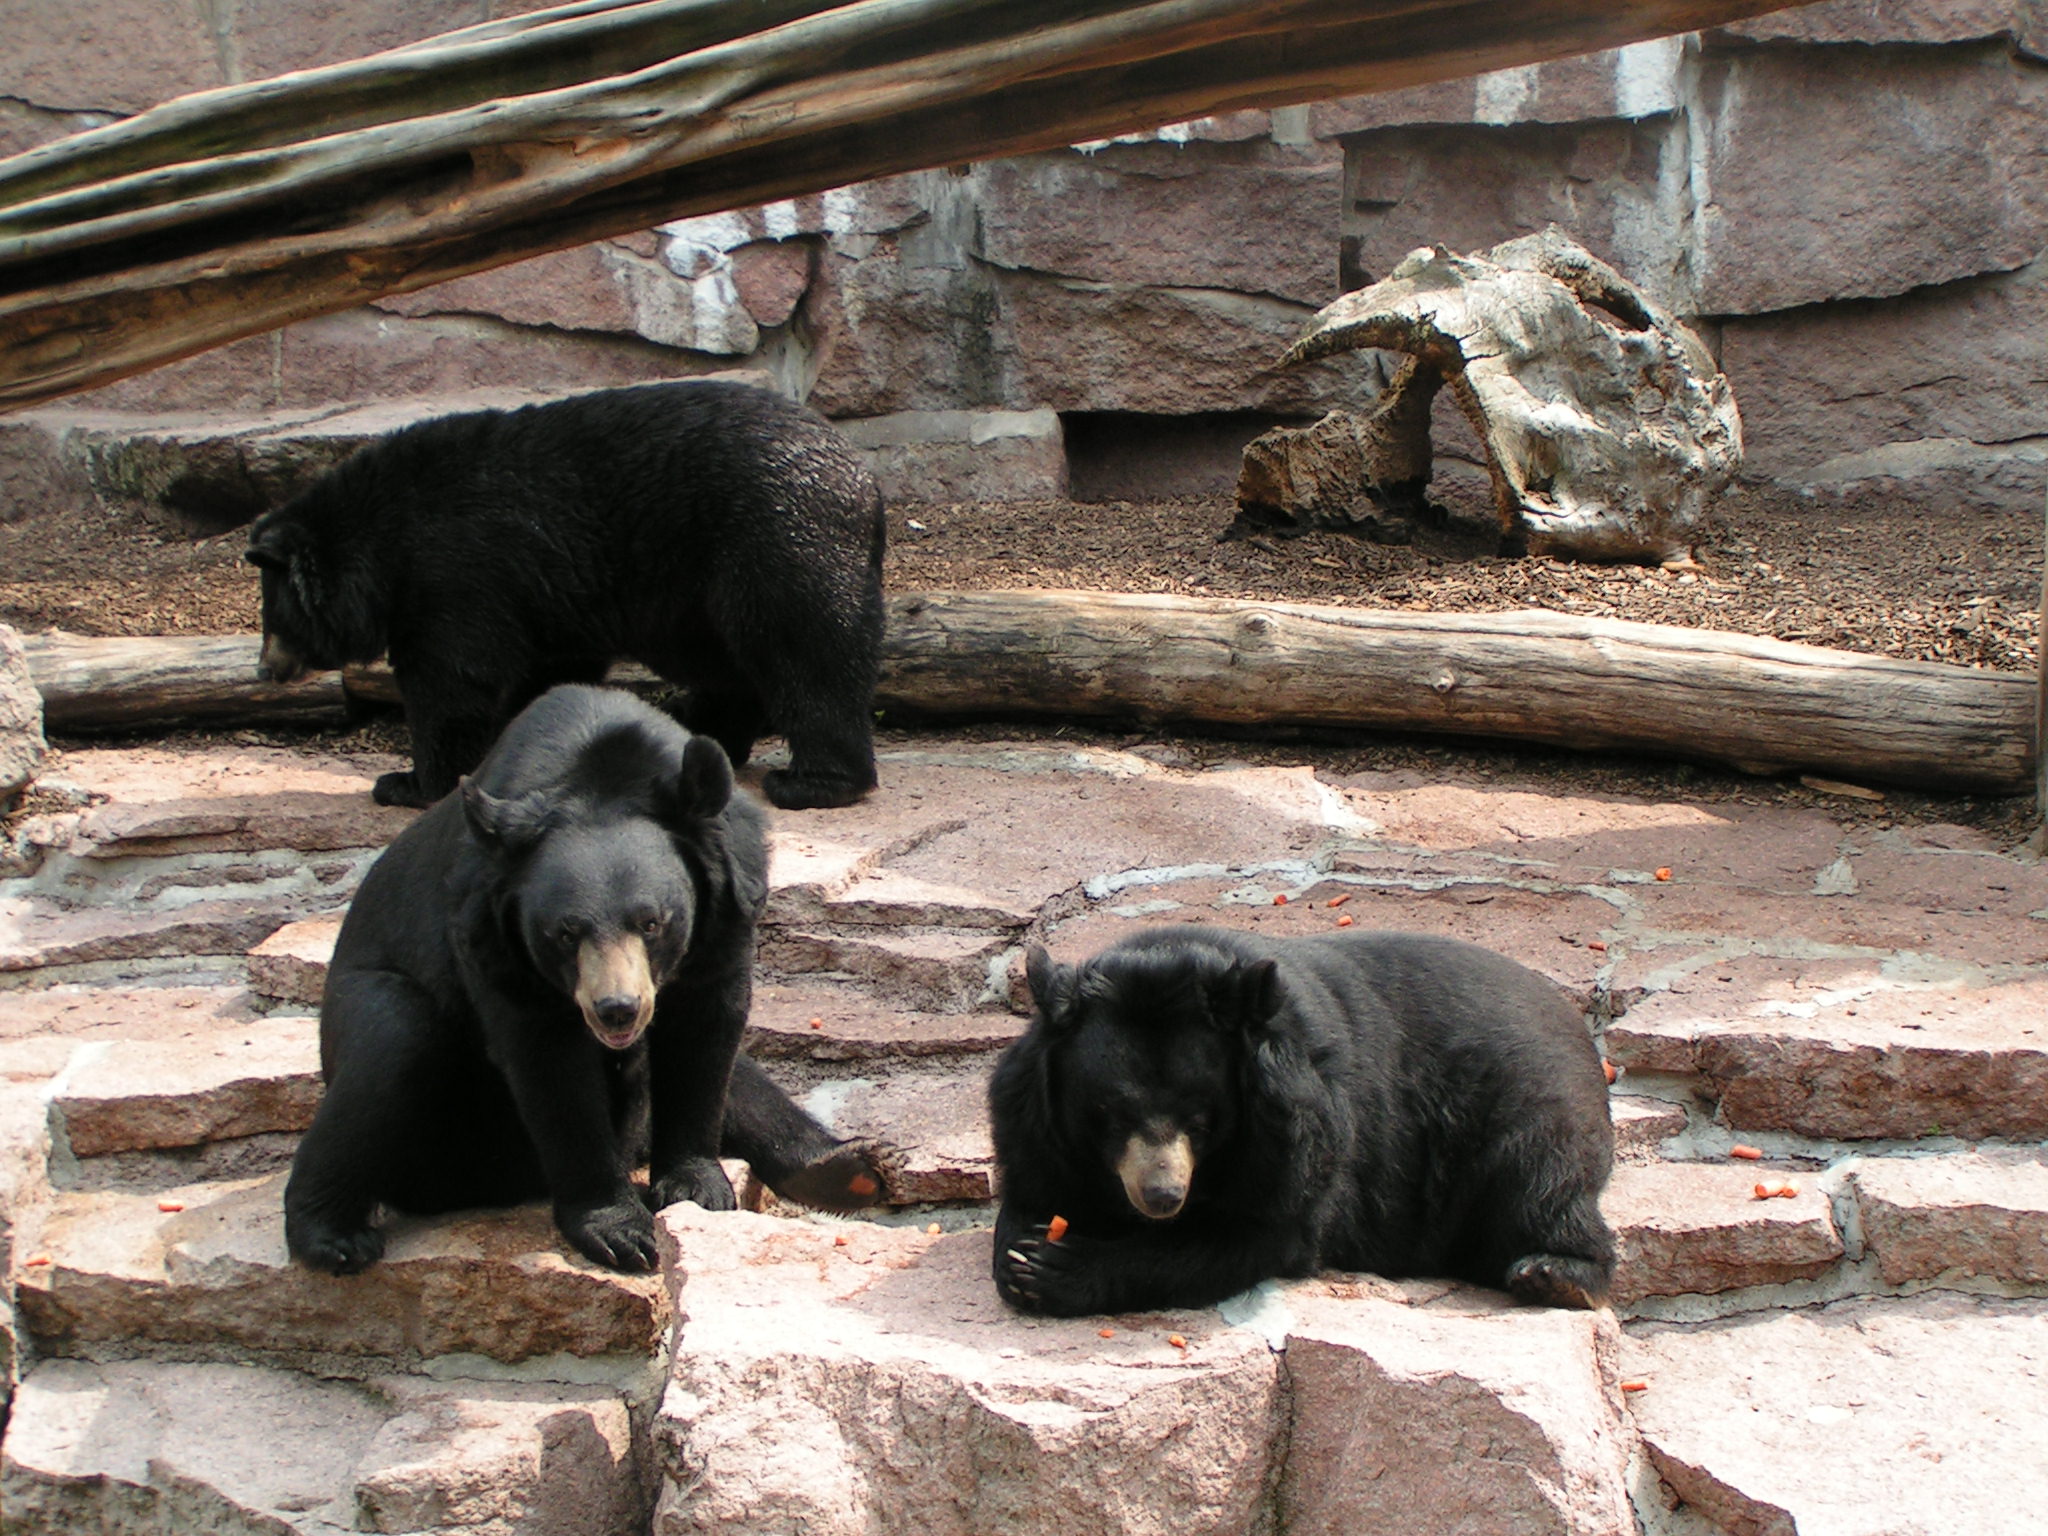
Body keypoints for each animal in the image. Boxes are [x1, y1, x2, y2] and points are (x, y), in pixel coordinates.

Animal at [243, 382, 884, 811]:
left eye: (273, 614)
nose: (264, 669)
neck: (383, 542)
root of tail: (865, 483)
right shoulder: (542, 593)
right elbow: (548, 670)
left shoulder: (457, 570)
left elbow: (452, 680)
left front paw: (407, 783)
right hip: (698, 592)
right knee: (730, 664)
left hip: (769, 536)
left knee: (802, 648)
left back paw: (812, 782)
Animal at [286, 684, 888, 1277]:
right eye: (564, 933)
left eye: (652, 922)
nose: (616, 1008)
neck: (599, 774)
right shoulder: (490, 934)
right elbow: (551, 1068)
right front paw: (620, 1232)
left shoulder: (730, 902)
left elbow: (706, 1034)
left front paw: (696, 1186)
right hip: (420, 1093)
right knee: (392, 1043)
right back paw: (334, 1237)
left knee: (745, 1079)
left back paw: (847, 1170)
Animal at [987, 925, 1613, 1327]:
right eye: (1110, 1114)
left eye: (1200, 1116)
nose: (1162, 1195)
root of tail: (1574, 1022)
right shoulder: (1033, 1119)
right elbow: (1034, 1192)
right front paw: (1023, 1255)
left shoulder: (1299, 1133)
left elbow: (1257, 1233)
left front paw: (1054, 1269)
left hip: (1529, 1105)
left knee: (1537, 1185)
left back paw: (1552, 1273)